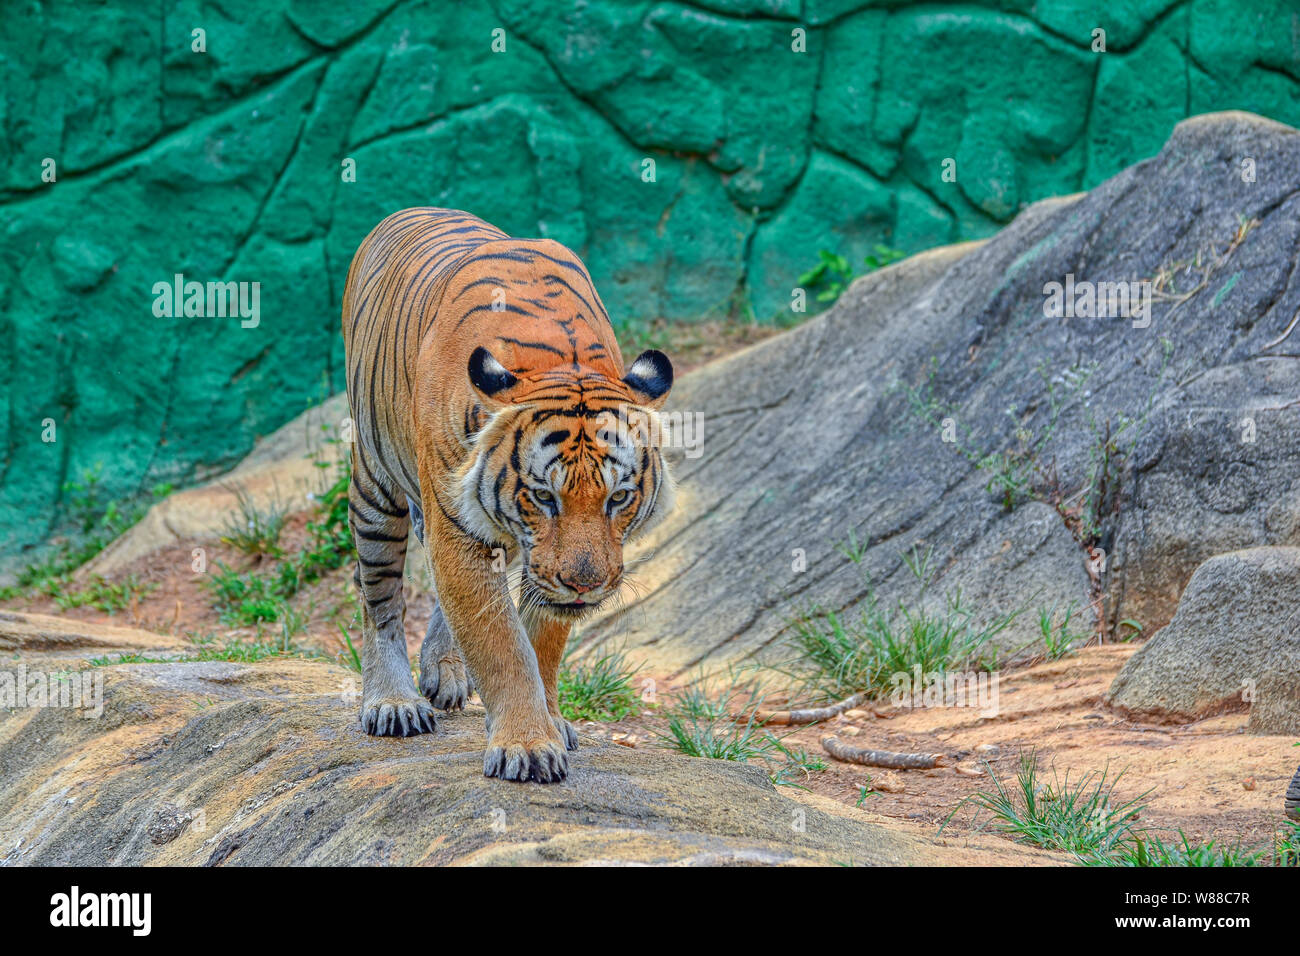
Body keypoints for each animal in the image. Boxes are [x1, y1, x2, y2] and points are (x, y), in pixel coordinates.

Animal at [340, 205, 676, 780]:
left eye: (618, 498)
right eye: (544, 498)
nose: (585, 586)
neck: (559, 360)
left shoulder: (533, 559)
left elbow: (541, 643)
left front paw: (550, 722)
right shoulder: (460, 526)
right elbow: (501, 643)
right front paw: (527, 744)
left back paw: (444, 672)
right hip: (375, 486)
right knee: (379, 598)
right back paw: (392, 702)